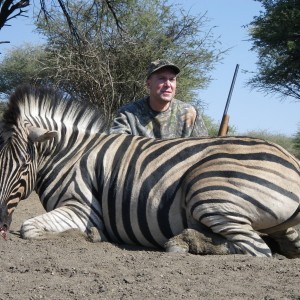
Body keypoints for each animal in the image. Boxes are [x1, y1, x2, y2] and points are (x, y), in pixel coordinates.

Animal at [0, 85, 300, 258]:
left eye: (23, 164)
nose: (0, 223)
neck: (71, 156)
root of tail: (292, 162)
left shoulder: (81, 208)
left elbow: (29, 228)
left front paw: (90, 235)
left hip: (206, 189)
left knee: (256, 248)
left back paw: (184, 243)